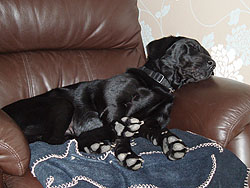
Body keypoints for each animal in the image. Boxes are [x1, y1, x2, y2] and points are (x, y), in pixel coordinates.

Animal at [1, 36, 216, 171]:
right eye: (191, 47)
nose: (213, 63)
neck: (159, 84)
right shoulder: (113, 105)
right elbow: (121, 132)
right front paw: (126, 152)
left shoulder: (152, 122)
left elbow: (156, 131)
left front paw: (169, 142)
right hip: (61, 103)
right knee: (55, 139)